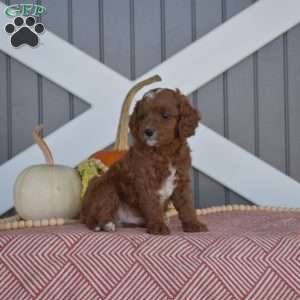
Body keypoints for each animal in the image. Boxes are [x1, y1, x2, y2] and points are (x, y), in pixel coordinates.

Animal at [82, 88, 209, 236]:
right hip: (106, 187)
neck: (164, 153)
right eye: (142, 117)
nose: (148, 131)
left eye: (165, 115)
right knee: (96, 215)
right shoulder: (146, 180)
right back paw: (104, 224)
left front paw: (193, 224)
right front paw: (158, 226)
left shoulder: (181, 180)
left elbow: (187, 204)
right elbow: (152, 205)